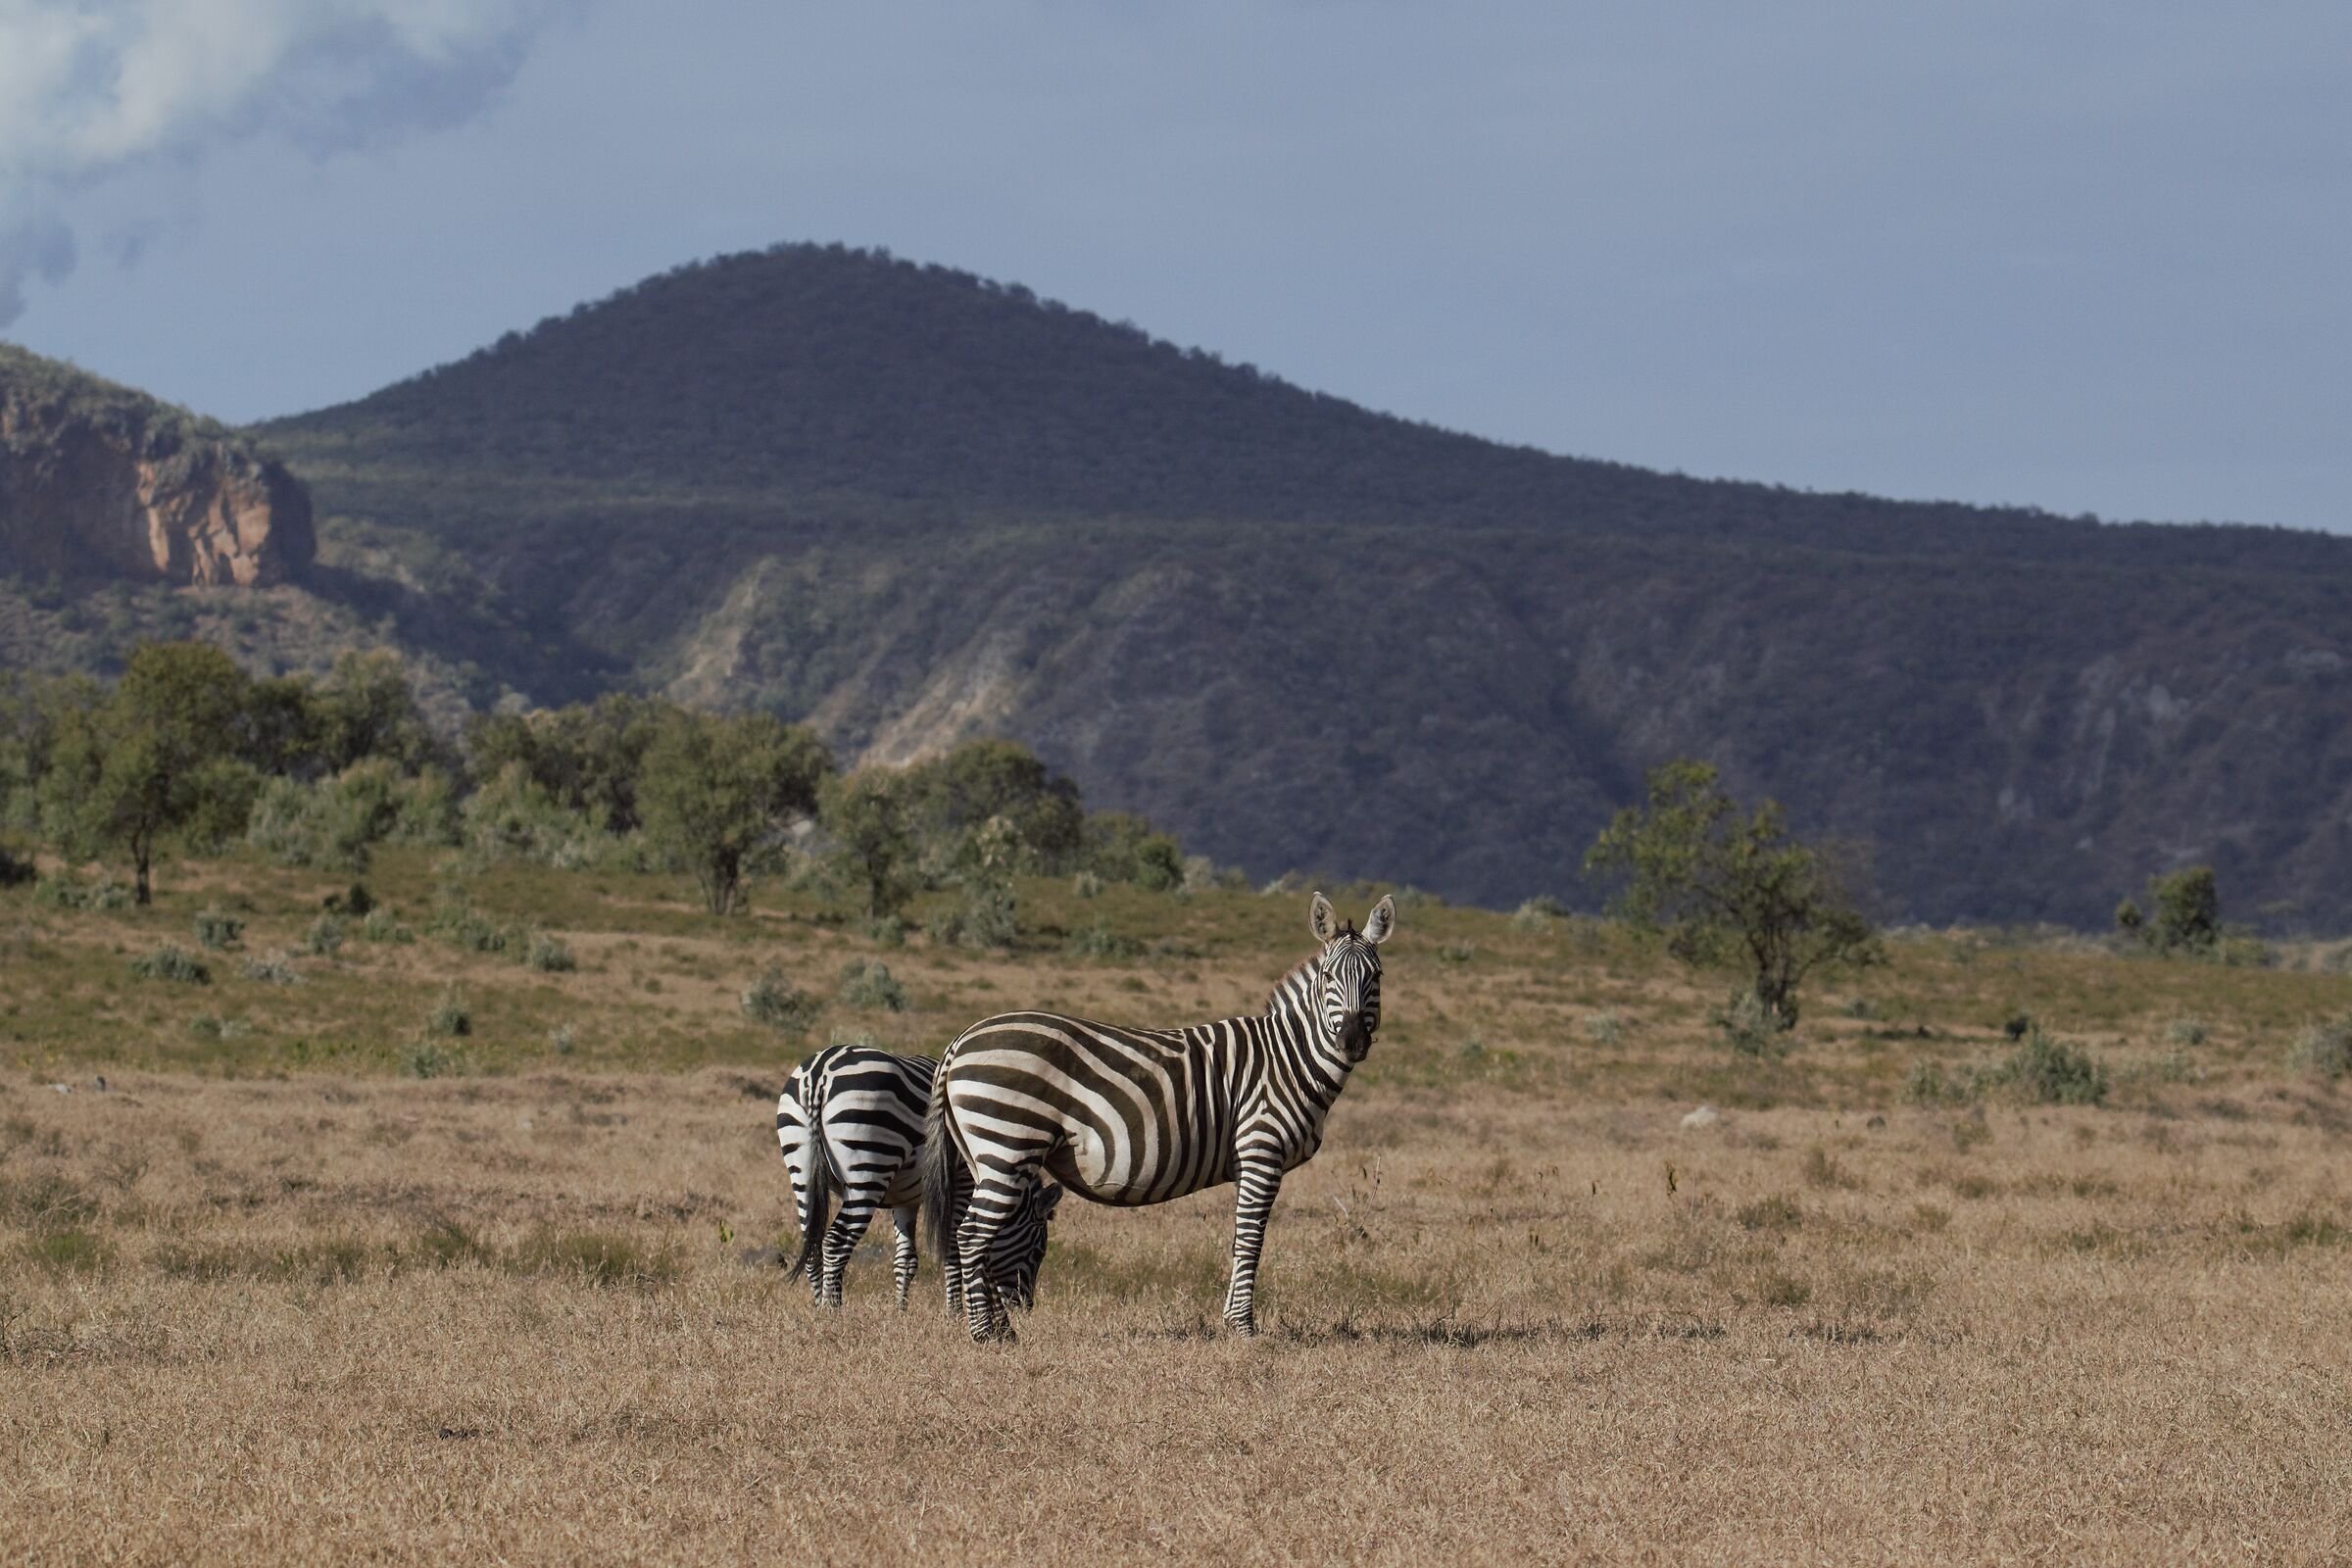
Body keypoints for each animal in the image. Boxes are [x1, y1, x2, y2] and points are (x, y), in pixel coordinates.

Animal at [776, 1044, 1062, 1312]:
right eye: (1039, 1250)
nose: (1024, 1307)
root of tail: (819, 1072)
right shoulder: (962, 1181)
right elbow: (953, 1246)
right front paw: (955, 1313)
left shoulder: (905, 1198)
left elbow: (906, 1259)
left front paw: (901, 1311)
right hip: (868, 1168)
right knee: (835, 1242)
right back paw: (832, 1310)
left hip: (801, 1169)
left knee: (811, 1242)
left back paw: (818, 1306)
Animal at [921, 891, 1394, 1342]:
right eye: (1329, 977)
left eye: (1376, 977)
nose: (1352, 1041)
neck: (1290, 1059)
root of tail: (961, 1041)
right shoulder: (1261, 1150)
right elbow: (1251, 1240)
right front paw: (1244, 1328)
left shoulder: (1249, 1161)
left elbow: (1237, 1239)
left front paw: (1230, 1320)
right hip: (1009, 1144)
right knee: (971, 1235)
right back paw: (986, 1334)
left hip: (985, 1154)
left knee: (981, 1235)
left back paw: (998, 1328)